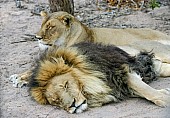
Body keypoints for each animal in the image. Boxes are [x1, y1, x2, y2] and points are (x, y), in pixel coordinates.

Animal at [28, 42, 170, 113]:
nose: (72, 105)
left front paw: (165, 99)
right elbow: (141, 91)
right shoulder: (121, 87)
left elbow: (146, 90)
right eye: (55, 101)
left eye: (66, 85)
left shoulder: (122, 71)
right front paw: (165, 93)